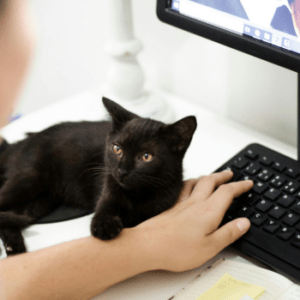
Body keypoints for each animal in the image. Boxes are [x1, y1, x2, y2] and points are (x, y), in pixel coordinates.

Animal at [0, 98, 197, 255]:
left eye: (146, 157)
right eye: (117, 149)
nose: (122, 171)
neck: (136, 194)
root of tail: (17, 144)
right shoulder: (108, 188)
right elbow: (104, 212)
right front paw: (105, 226)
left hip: (41, 202)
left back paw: (14, 247)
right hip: (29, 180)